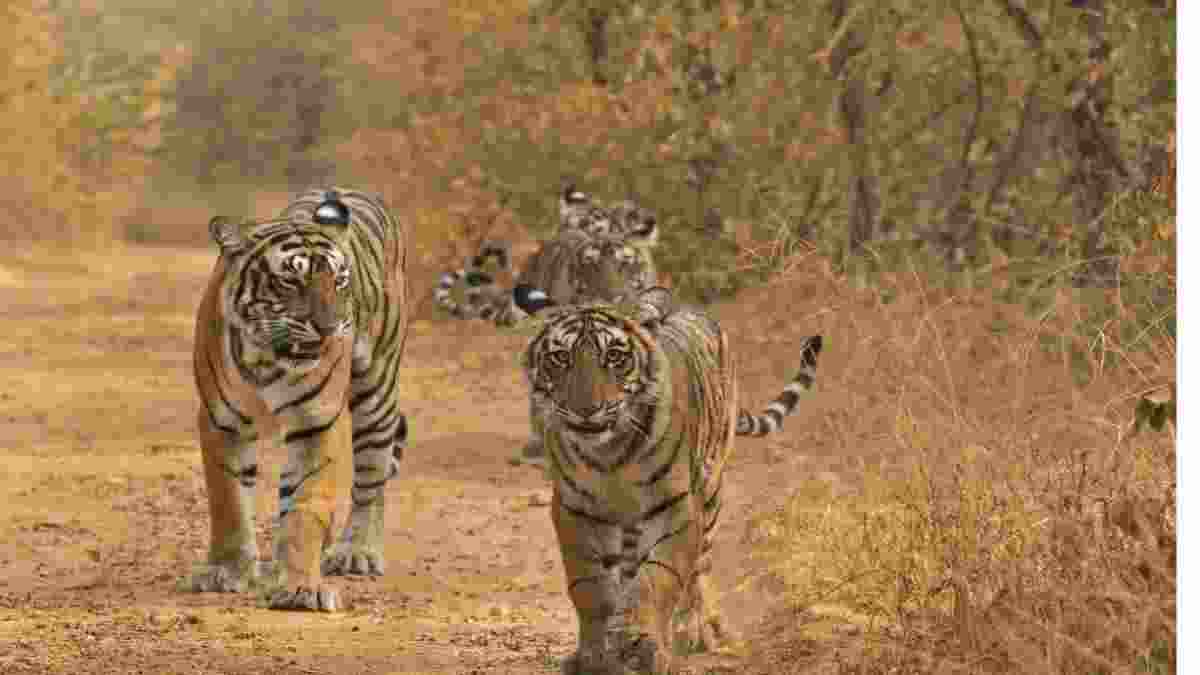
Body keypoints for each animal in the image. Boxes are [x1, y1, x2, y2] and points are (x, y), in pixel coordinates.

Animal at [186, 187, 409, 612]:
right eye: (290, 280)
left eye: (340, 280)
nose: (330, 327)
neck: (266, 358)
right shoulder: (222, 421)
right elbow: (229, 503)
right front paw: (227, 572)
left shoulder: (315, 424)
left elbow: (307, 508)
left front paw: (302, 587)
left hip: (376, 392)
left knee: (371, 480)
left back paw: (357, 551)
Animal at [514, 283, 823, 674]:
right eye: (560, 358)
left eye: (614, 357)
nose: (587, 410)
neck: (610, 453)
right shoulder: (575, 511)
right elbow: (589, 587)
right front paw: (594, 655)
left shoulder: (675, 508)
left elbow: (658, 578)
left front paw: (648, 649)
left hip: (711, 490)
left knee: (699, 569)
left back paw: (697, 631)